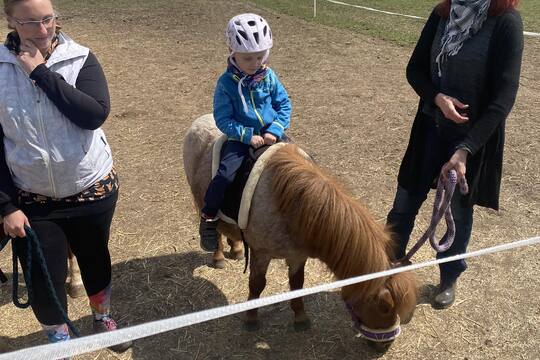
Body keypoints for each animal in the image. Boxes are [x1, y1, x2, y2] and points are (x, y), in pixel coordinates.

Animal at [182, 115, 418, 346]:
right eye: (384, 307)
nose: (385, 344)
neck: (290, 204)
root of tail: (200, 120)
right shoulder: (261, 254)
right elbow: (257, 284)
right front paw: (251, 318)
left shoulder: (297, 255)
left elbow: (297, 284)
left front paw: (300, 317)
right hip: (202, 199)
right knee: (215, 228)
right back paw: (219, 256)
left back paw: (237, 248)